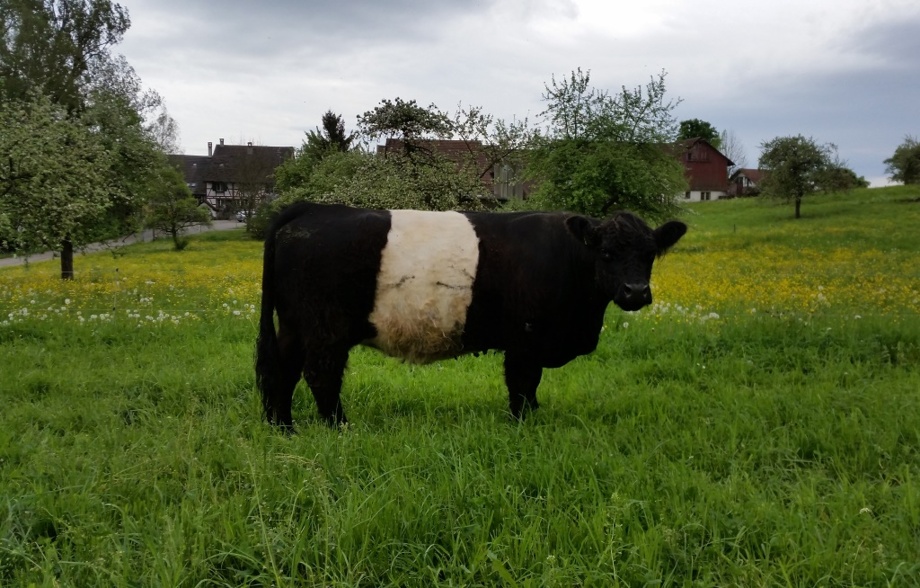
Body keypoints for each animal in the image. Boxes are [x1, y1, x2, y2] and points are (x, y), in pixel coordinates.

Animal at [255, 202, 688, 428]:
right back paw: (339, 427)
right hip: (325, 328)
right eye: (607, 253)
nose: (635, 291)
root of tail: (312, 211)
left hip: (293, 325)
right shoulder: (525, 339)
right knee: (320, 375)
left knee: (283, 371)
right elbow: (523, 385)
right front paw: (523, 424)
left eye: (650, 253)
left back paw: (283, 427)